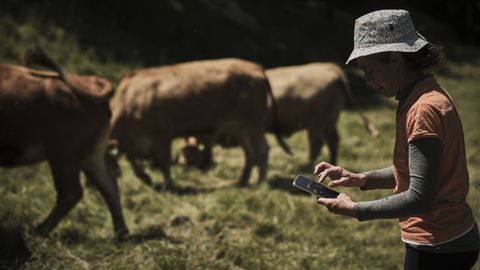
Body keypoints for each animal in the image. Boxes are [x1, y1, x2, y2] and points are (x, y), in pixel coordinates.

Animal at [0, 47, 128, 239]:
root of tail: (88, 82)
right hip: (90, 156)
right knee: (109, 185)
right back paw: (121, 234)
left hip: (64, 157)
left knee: (71, 193)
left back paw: (39, 231)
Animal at [108, 58, 288, 189]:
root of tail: (255, 67)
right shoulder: (131, 142)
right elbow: (133, 161)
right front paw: (146, 179)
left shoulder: (162, 134)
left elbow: (164, 161)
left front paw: (167, 185)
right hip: (240, 128)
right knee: (250, 154)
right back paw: (242, 181)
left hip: (252, 124)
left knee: (262, 150)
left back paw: (261, 183)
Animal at [178, 62, 376, 168]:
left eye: (186, 153)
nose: (181, 164)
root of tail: (330, 68)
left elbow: (209, 144)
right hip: (329, 121)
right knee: (333, 140)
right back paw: (332, 162)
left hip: (316, 123)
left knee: (317, 142)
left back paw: (307, 165)